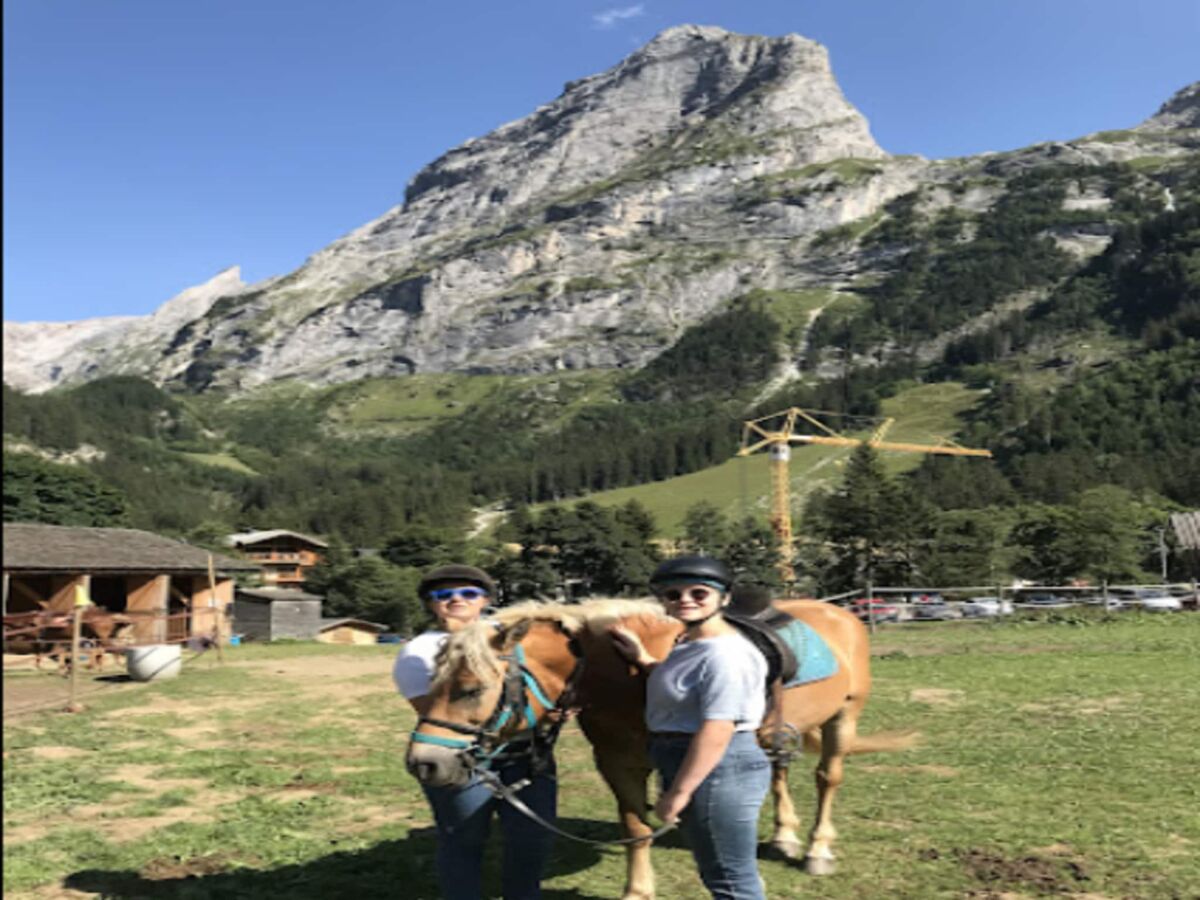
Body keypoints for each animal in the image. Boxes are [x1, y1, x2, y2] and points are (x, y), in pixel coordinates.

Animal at [408, 600, 912, 900]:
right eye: (432, 682)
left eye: (472, 688)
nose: (423, 763)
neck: (628, 678)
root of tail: (839, 613)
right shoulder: (618, 763)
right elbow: (636, 826)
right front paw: (638, 891)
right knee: (779, 775)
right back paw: (785, 835)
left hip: (843, 719)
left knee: (827, 778)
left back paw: (816, 850)